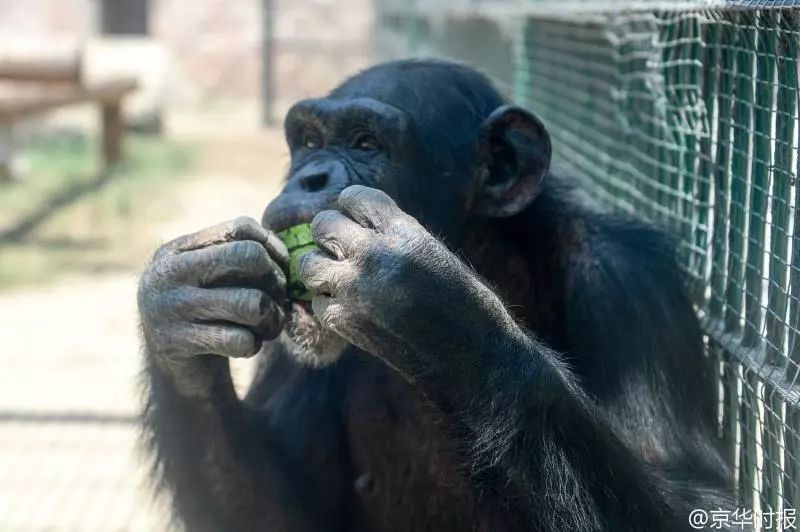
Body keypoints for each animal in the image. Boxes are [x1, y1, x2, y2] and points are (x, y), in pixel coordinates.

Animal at [139, 60, 736, 528]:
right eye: (309, 141)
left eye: (365, 143)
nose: (309, 177)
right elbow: (286, 516)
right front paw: (179, 315)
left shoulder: (632, 283)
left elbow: (698, 499)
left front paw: (422, 304)